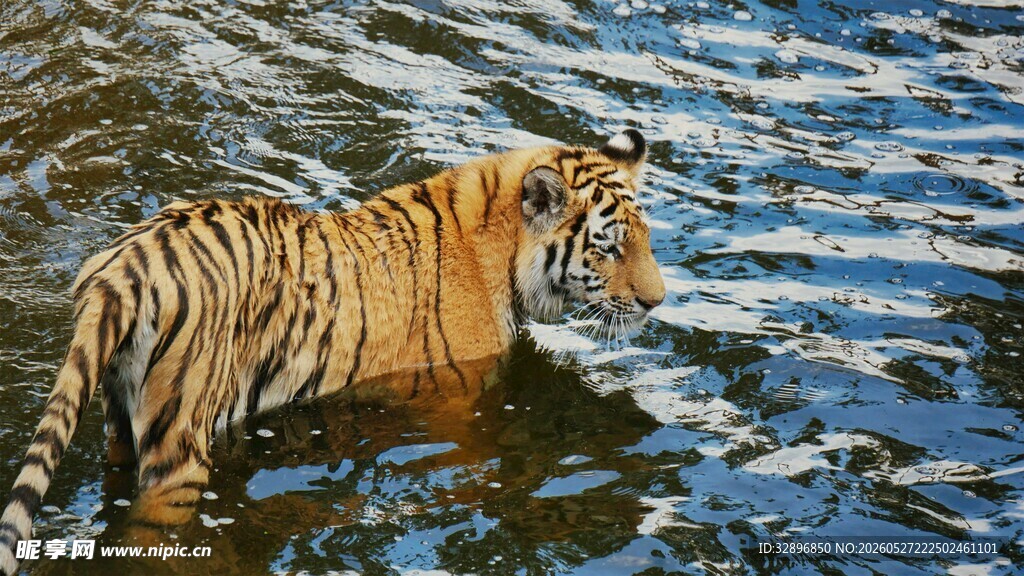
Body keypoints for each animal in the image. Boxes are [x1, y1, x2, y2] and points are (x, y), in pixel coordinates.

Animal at [0, 129, 665, 574]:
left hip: (119, 417)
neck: (499, 251)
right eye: (608, 247)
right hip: (180, 436)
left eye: (646, 239)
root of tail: (125, 268)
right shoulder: (459, 399)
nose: (658, 302)